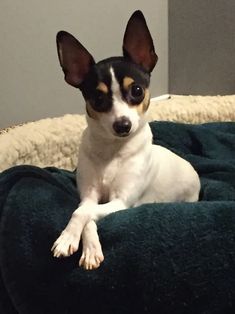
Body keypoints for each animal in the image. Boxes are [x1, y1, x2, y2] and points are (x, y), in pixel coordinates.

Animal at [51, 10, 200, 270]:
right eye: (98, 98)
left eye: (137, 91)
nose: (123, 125)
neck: (112, 150)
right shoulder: (88, 196)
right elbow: (84, 213)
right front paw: (83, 245)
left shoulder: (121, 202)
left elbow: (84, 214)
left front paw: (69, 239)